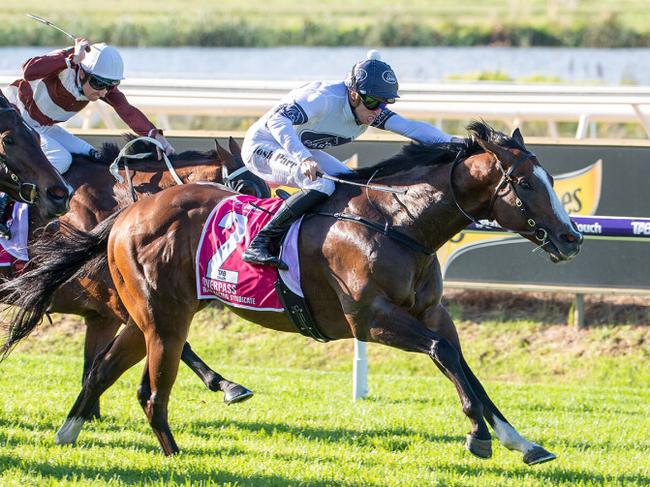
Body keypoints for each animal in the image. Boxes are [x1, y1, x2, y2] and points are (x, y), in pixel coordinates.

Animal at [0, 136, 268, 412]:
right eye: (245, 186)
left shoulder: (102, 316)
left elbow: (94, 366)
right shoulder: (124, 303)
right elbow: (177, 343)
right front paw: (228, 385)